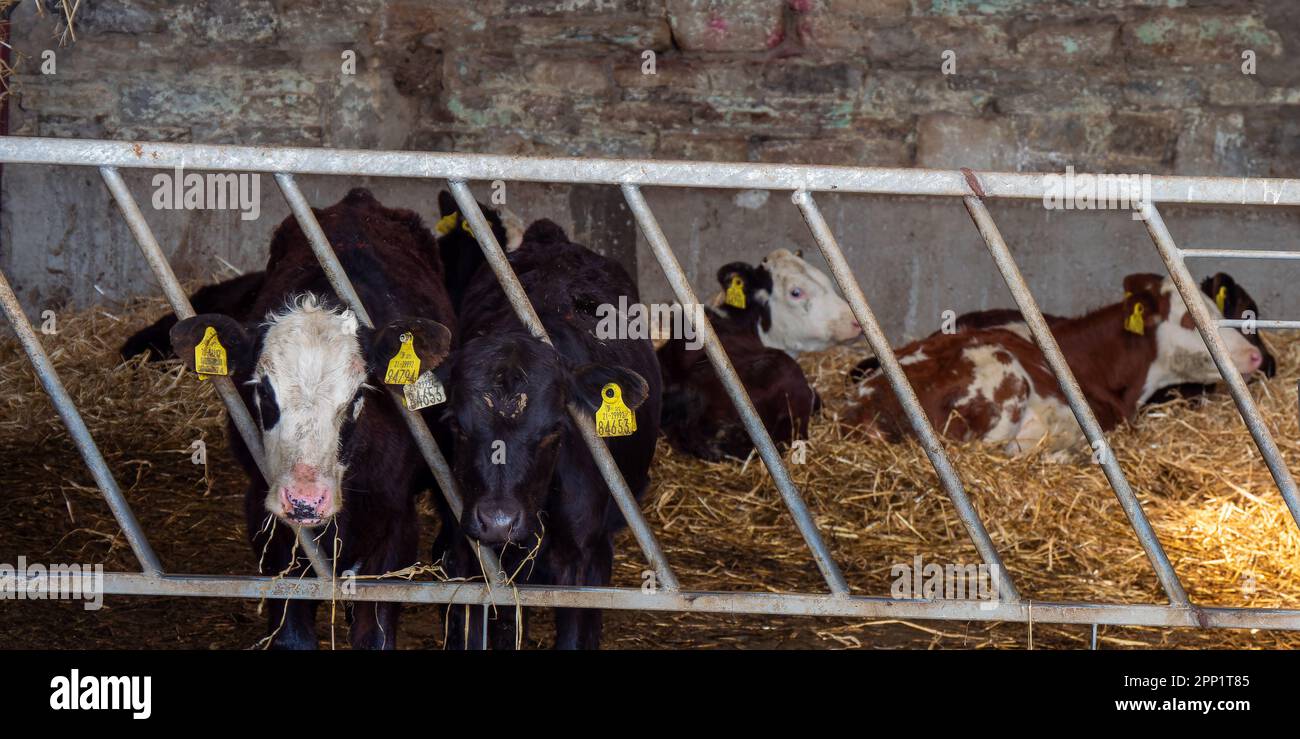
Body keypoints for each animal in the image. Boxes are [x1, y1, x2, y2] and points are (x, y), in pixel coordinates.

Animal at [171, 187, 457, 650]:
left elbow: (374, 633)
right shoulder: (266, 516)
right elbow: (292, 633)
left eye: (358, 396)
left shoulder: (396, 524)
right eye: (262, 392)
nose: (305, 500)